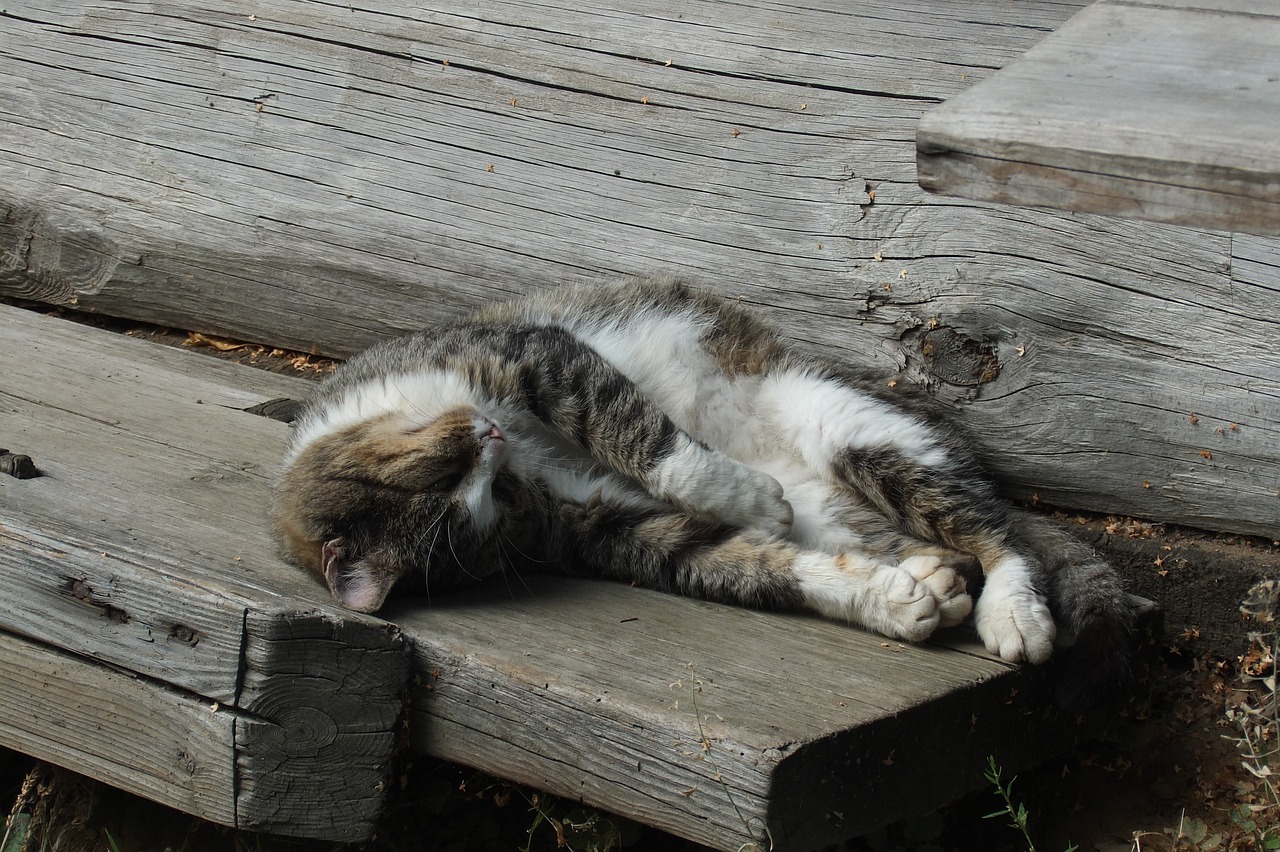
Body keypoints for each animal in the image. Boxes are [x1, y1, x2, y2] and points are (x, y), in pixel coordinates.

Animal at [275, 277, 1136, 701]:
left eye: (450, 470)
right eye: (488, 501)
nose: (491, 441)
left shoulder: (540, 358)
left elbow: (646, 439)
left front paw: (750, 496)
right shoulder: (605, 524)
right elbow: (736, 559)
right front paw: (883, 600)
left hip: (860, 432)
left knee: (1002, 534)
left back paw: (1013, 613)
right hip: (845, 511)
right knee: (932, 546)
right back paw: (921, 580)